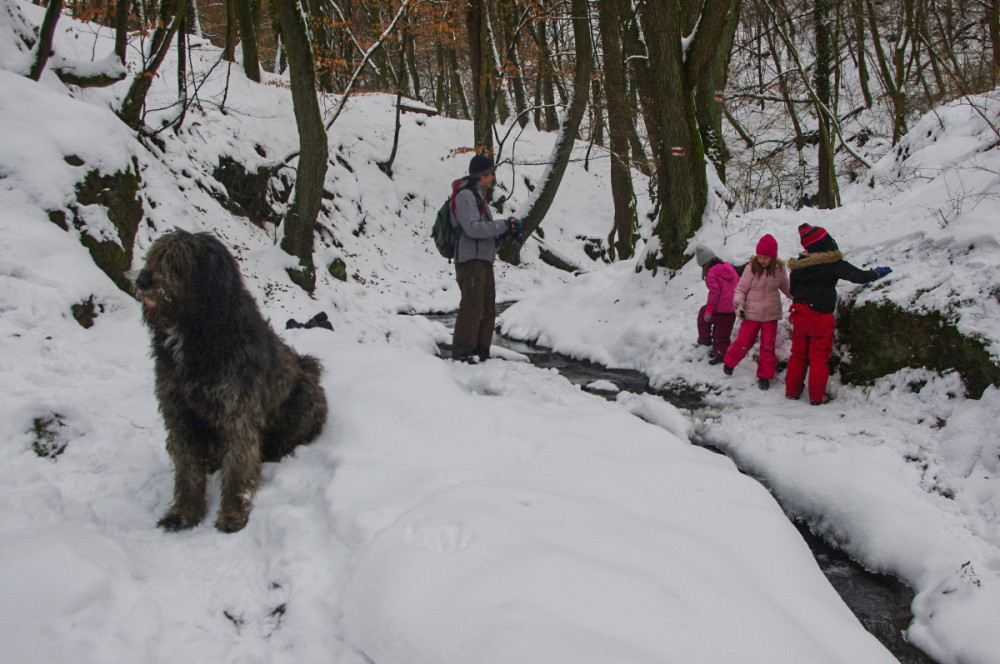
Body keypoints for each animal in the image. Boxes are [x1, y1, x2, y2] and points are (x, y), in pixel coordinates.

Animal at [133, 231, 326, 532]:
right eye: (153, 257)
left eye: (177, 263)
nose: (142, 280)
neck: (195, 333)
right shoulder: (178, 414)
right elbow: (188, 471)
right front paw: (184, 513)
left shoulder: (238, 412)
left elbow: (237, 467)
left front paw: (233, 513)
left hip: (304, 396)